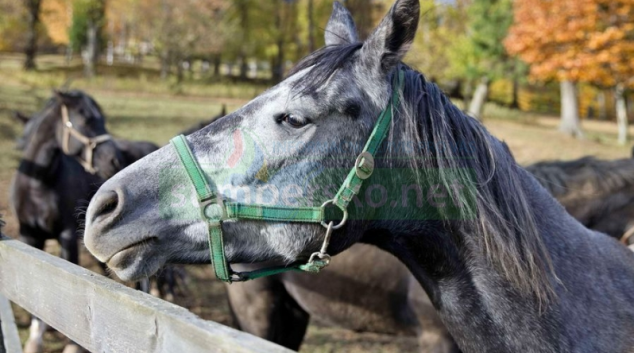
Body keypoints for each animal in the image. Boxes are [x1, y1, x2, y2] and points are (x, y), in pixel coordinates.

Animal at [9, 91, 157, 352]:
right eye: (86, 119)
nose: (115, 161)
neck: (38, 184)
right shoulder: (29, 237)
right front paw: (35, 339)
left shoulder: (68, 237)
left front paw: (72, 345)